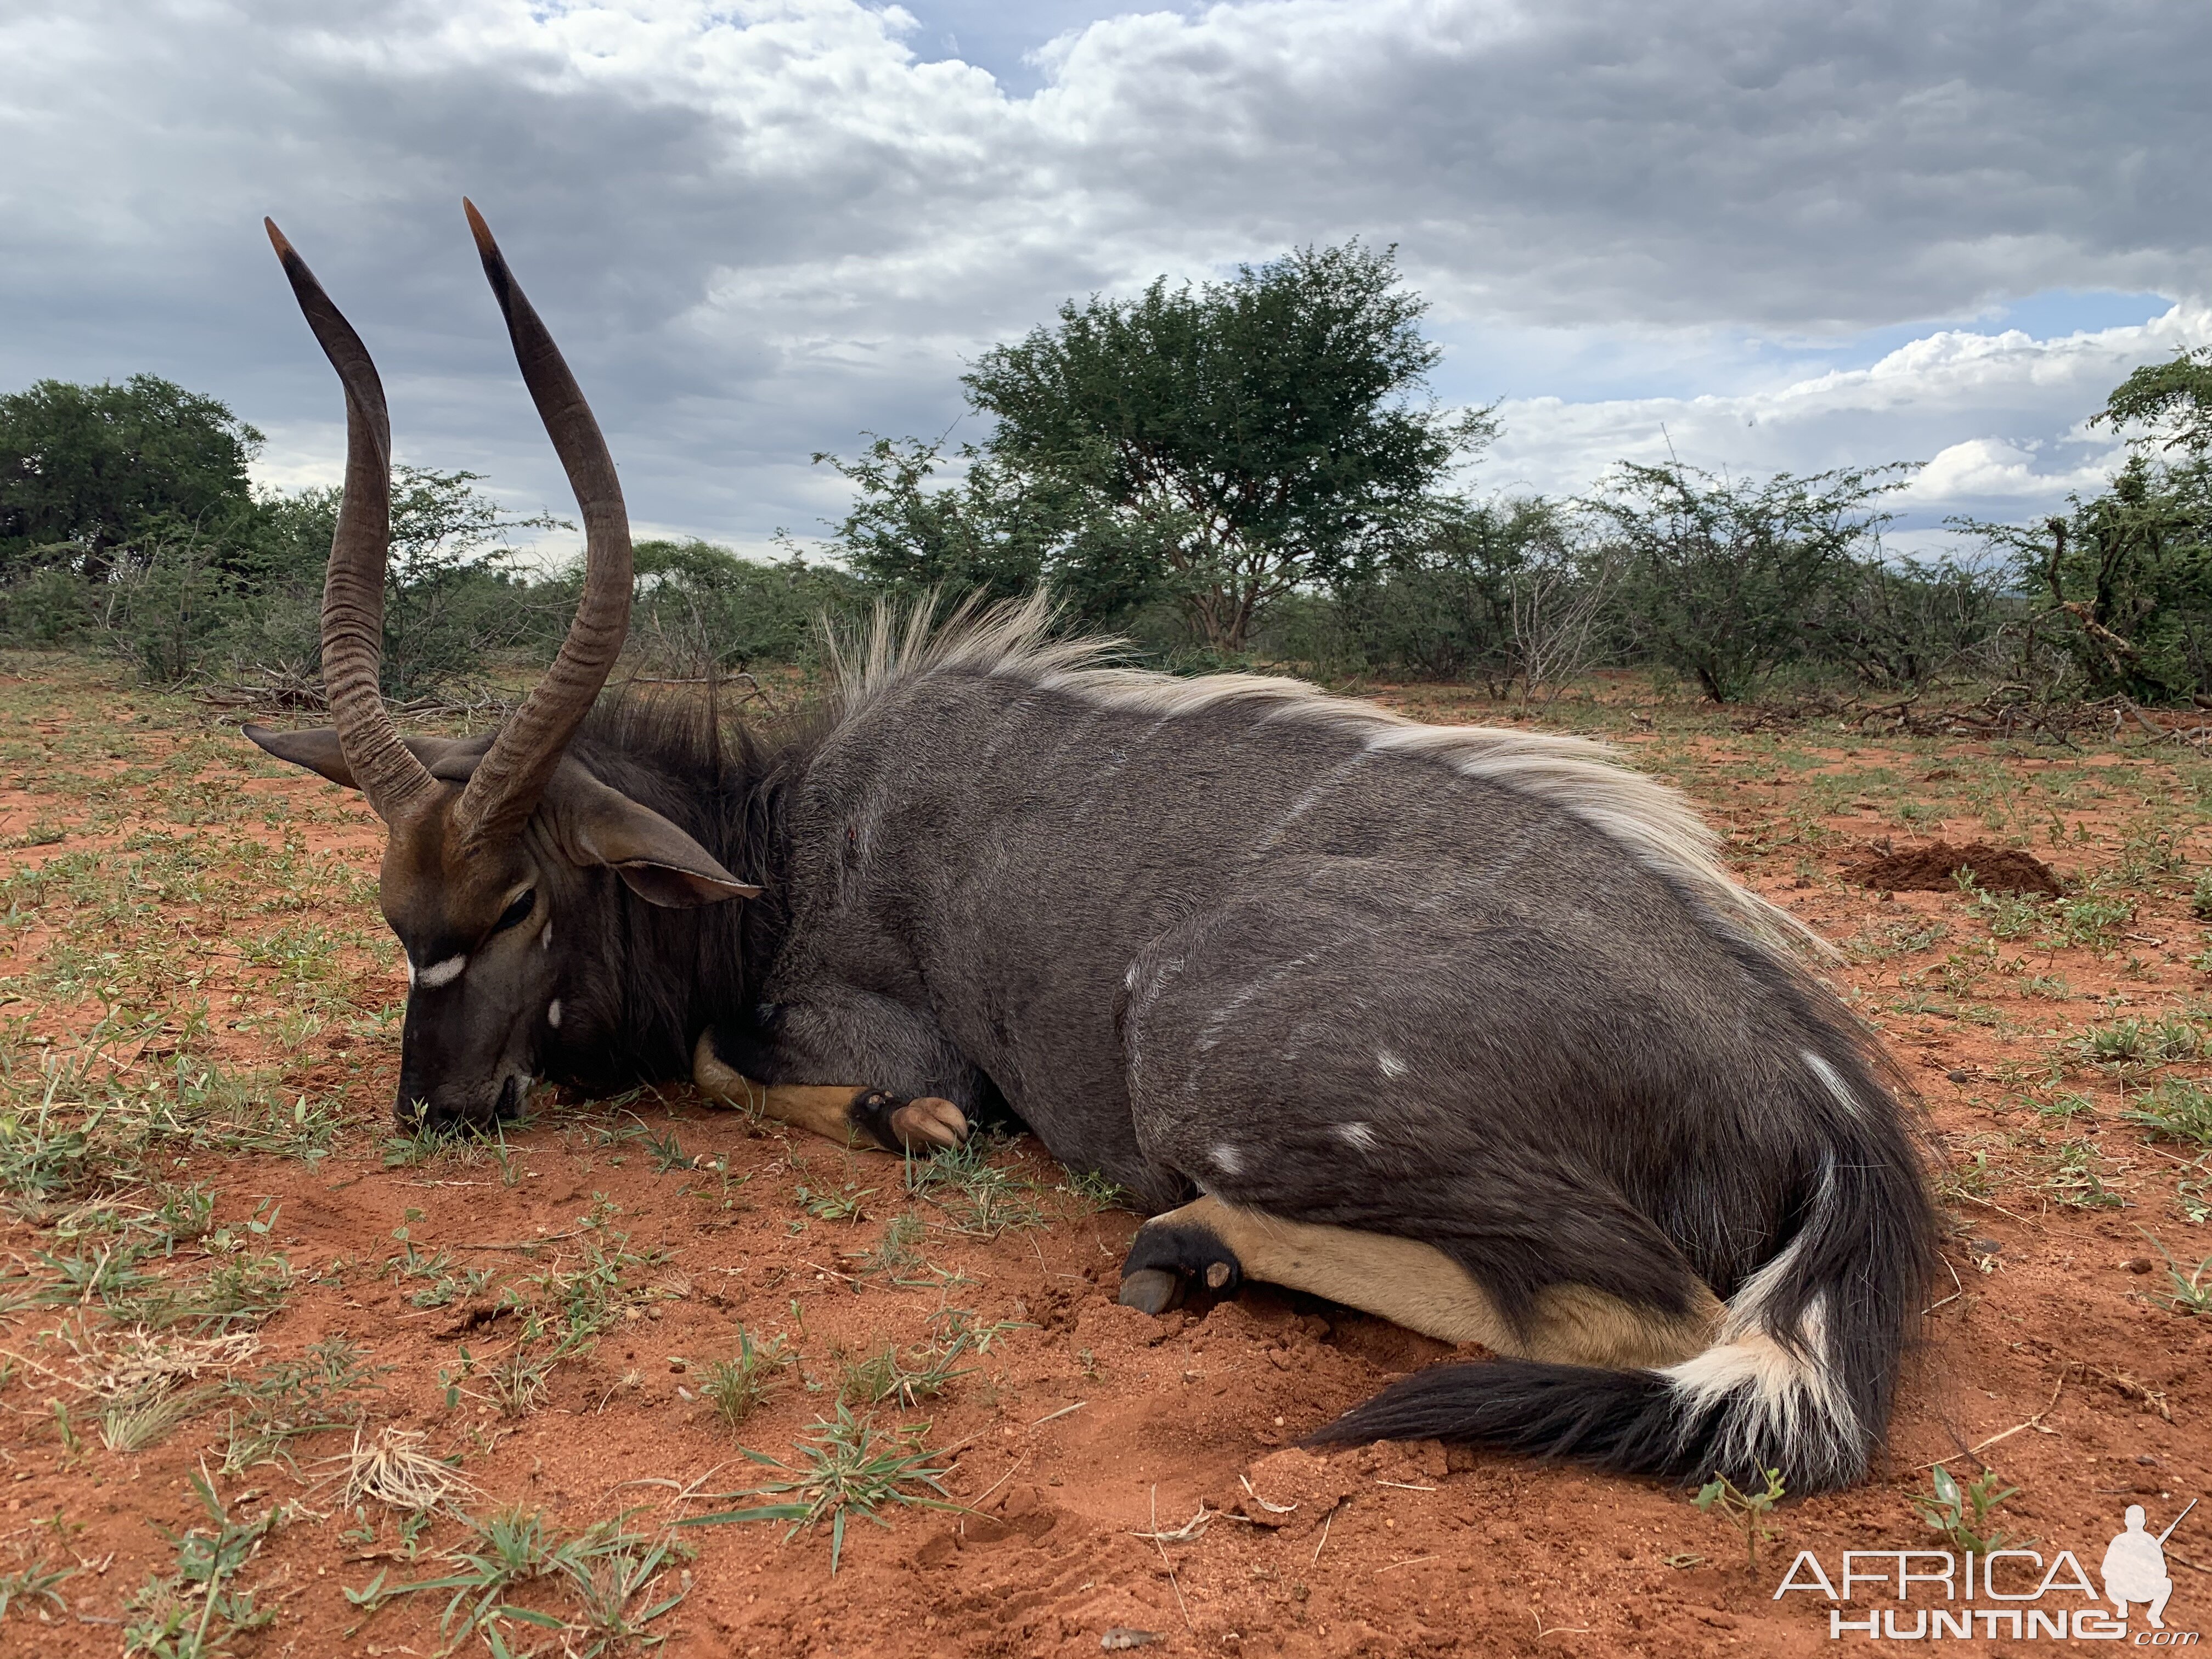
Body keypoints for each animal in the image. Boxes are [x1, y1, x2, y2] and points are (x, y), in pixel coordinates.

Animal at [246, 208, 1938, 1495]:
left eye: (520, 900)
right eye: (395, 911)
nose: (438, 1110)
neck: (789, 835)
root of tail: (1819, 1095)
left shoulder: (879, 1030)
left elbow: (764, 1068)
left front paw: (910, 1128)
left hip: (1208, 1054)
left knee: (1647, 1312)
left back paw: (1183, 1243)